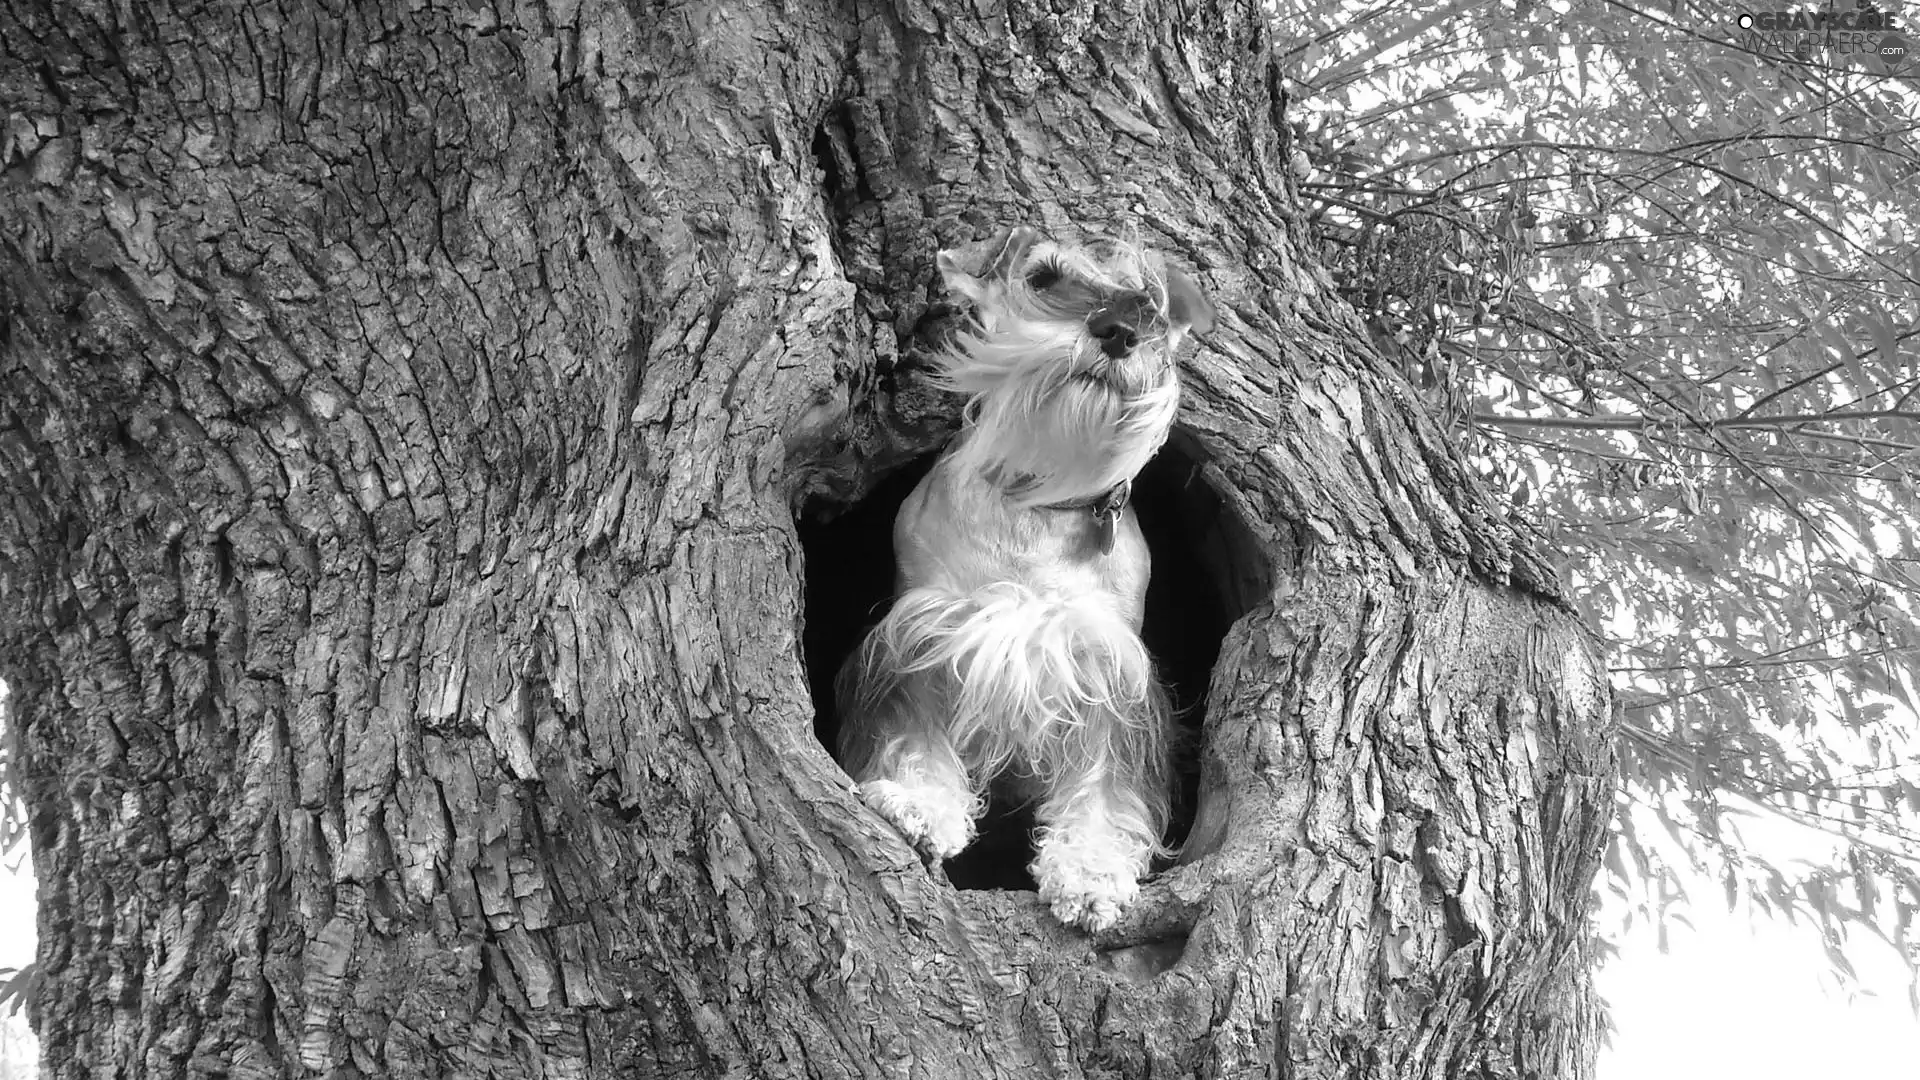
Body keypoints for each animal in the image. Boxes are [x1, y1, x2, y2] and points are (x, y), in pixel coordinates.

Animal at [840, 224, 1213, 926]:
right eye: (1042, 277)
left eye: (1152, 300)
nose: (1120, 329)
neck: (1039, 498)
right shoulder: (920, 640)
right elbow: (912, 734)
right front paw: (920, 804)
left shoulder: (1109, 671)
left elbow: (1106, 784)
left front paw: (1090, 871)